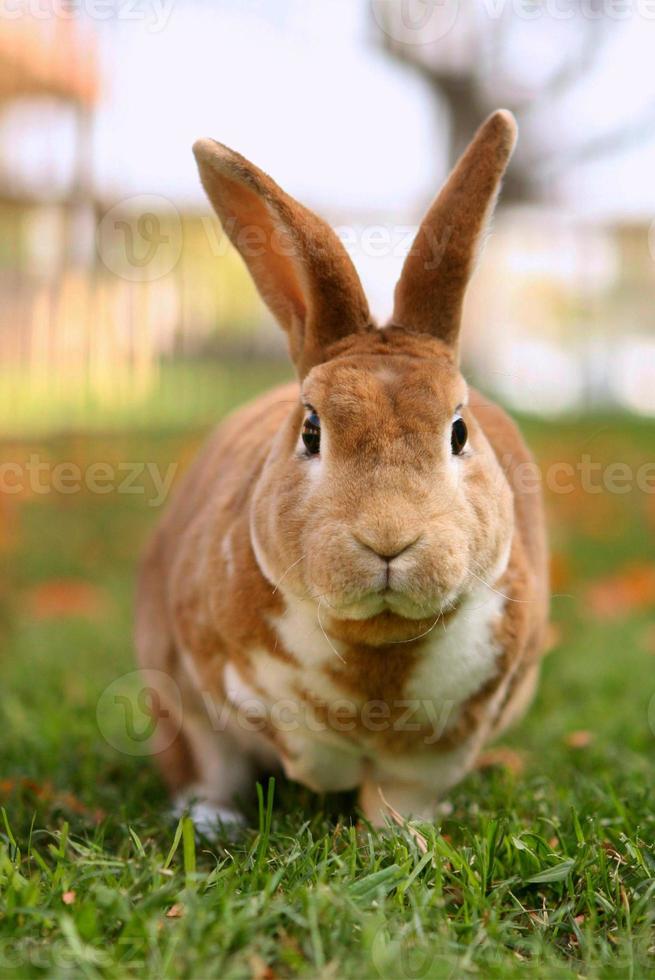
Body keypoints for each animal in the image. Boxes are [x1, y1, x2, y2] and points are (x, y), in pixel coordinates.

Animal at [136, 111, 552, 832]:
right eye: (312, 430)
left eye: (458, 431)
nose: (388, 539)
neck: (377, 645)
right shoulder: (204, 673)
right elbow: (260, 738)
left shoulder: (443, 746)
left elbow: (398, 796)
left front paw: (405, 840)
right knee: (202, 768)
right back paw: (211, 823)